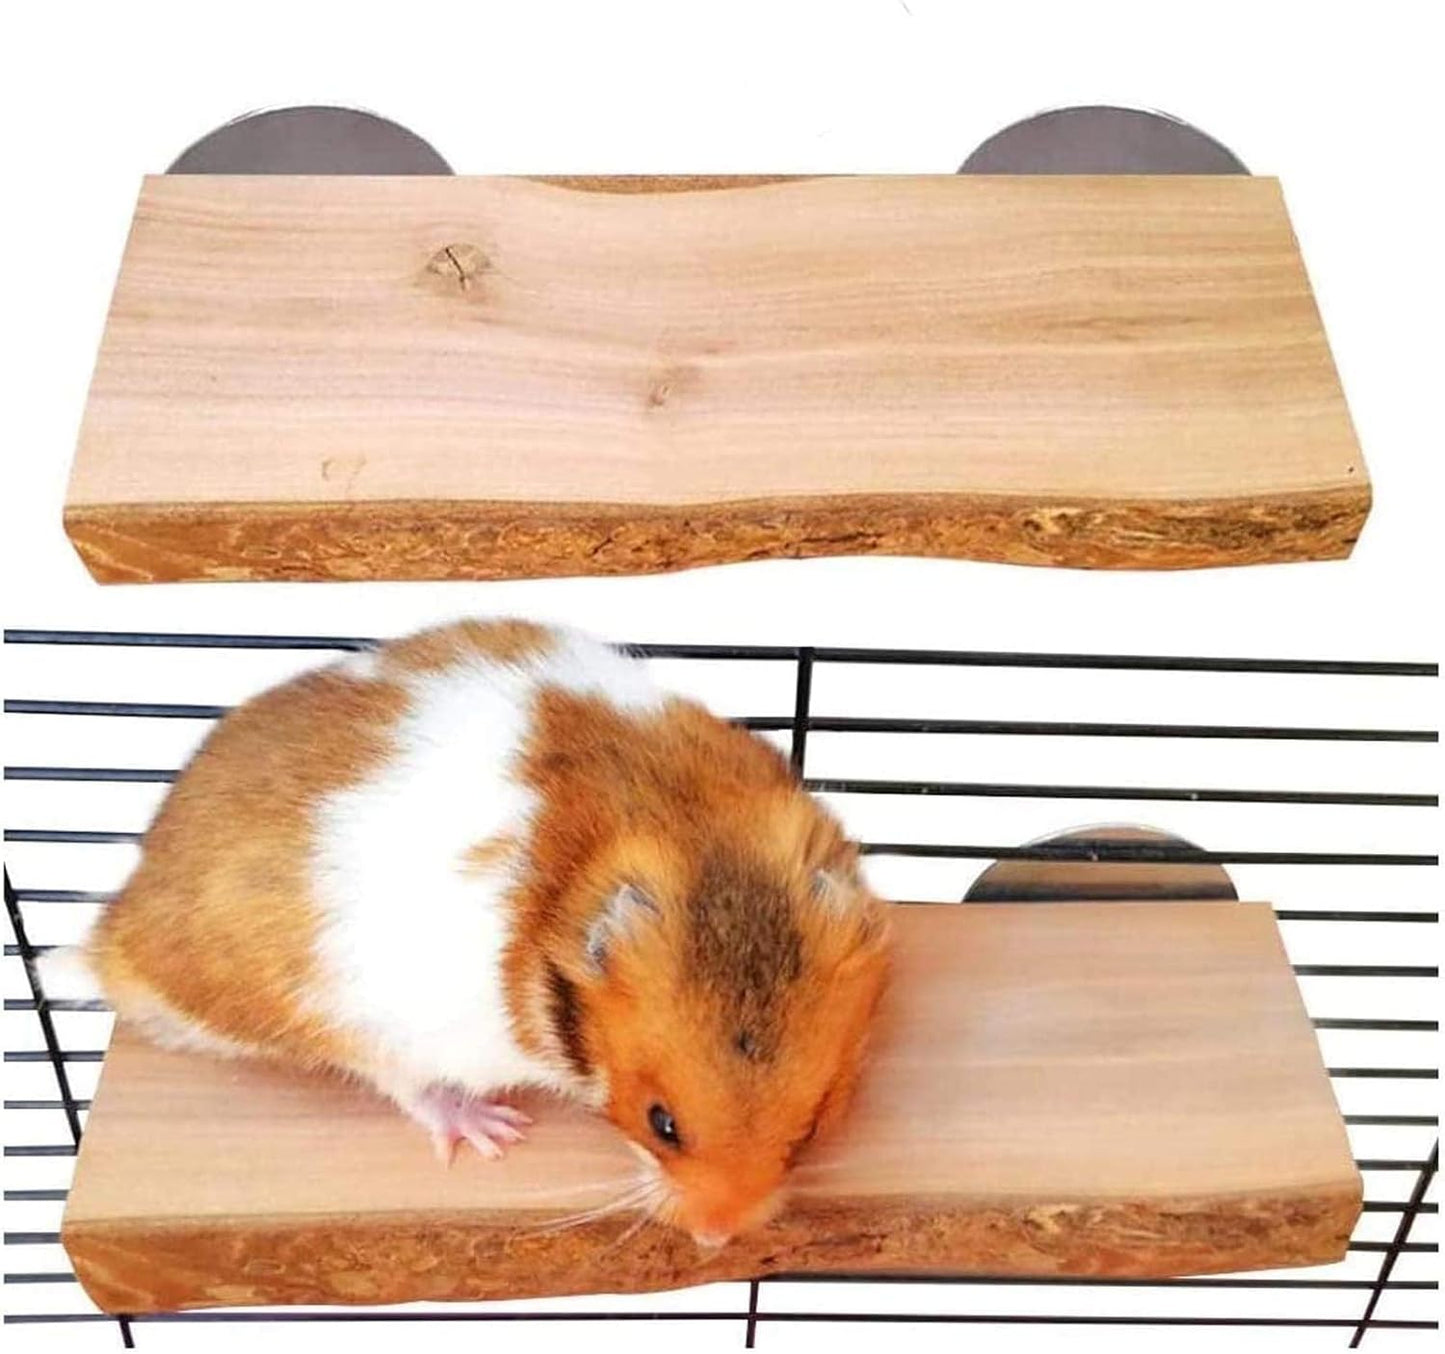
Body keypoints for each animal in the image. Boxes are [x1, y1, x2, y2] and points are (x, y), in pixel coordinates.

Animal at [65, 620, 891, 1247]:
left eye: (810, 1129)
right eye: (661, 1125)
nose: (716, 1237)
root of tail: (118, 935)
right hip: (354, 1018)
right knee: (410, 1088)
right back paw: (490, 1127)